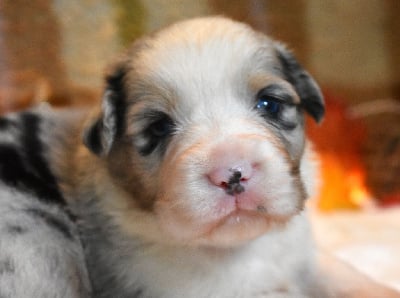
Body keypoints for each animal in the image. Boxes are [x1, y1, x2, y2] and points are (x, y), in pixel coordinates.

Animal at [1, 16, 398, 298]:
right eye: (159, 128)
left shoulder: (303, 258)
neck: (239, 248)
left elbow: (347, 277)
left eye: (268, 104)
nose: (232, 173)